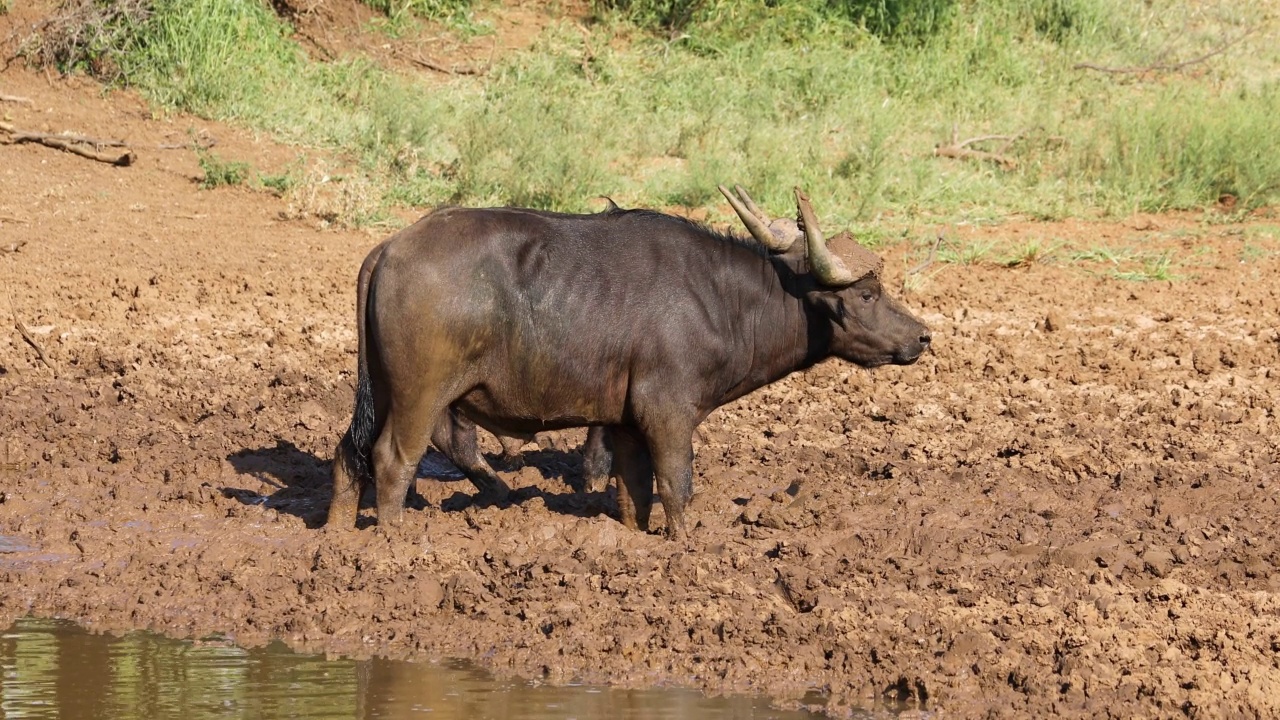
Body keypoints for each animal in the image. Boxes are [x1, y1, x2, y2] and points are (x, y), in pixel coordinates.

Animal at [330, 185, 931, 538]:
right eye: (869, 294)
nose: (923, 336)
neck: (723, 299)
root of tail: (390, 248)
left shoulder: (622, 423)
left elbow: (631, 491)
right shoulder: (669, 414)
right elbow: (677, 486)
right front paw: (684, 548)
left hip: (382, 388)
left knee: (348, 453)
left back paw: (339, 535)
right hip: (421, 395)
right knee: (393, 460)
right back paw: (394, 543)